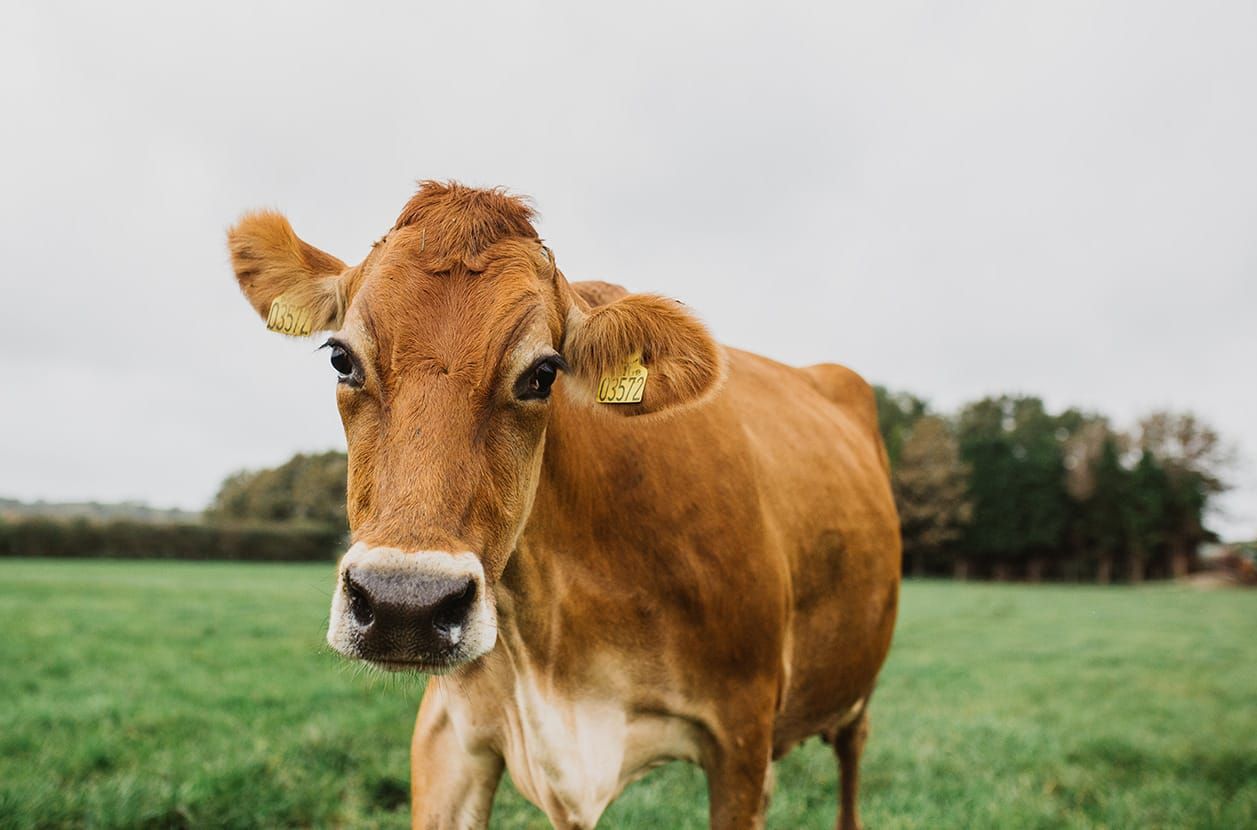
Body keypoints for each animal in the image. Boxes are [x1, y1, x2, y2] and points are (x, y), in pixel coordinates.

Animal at [228, 181, 905, 830]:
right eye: (341, 358)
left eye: (543, 373)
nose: (405, 604)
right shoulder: (449, 734)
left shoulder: (741, 735)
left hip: (858, 686)